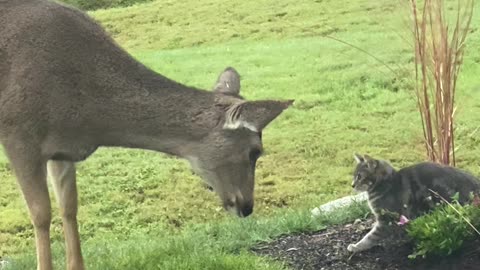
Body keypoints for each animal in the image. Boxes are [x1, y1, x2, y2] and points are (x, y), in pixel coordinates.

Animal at [0, 1, 292, 268]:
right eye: (255, 151)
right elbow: (41, 213)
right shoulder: (19, 134)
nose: (247, 206)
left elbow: (69, 207)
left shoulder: (62, 149)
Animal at [346, 154, 480, 253]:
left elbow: (370, 237)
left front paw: (356, 246)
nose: (352, 185)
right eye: (354, 176)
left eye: (359, 176)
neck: (386, 183)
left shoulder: (386, 220)